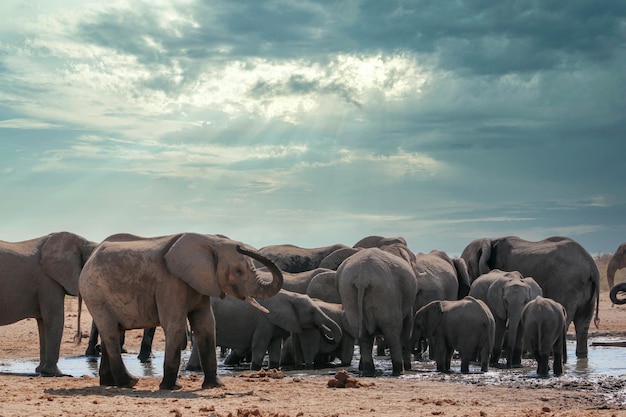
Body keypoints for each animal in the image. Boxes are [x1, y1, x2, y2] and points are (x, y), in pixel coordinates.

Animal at [77, 232, 280, 388]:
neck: (210, 241)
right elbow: (174, 325)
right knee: (111, 332)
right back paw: (130, 382)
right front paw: (172, 388)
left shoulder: (200, 283)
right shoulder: (170, 283)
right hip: (95, 294)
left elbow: (206, 325)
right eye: (238, 271)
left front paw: (215, 386)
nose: (241, 247)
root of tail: (90, 259)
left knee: (112, 331)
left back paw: (109, 383)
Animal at [334, 245, 416, 376]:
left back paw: (368, 370)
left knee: (362, 335)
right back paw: (399, 371)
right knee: (392, 332)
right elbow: (408, 325)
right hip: (386, 294)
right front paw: (408, 367)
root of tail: (362, 277)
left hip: (348, 292)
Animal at [458, 234, 600, 358]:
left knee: (566, 318)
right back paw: (580, 355)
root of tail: (592, 267)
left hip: (566, 284)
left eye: (468, 270)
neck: (490, 241)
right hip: (586, 293)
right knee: (583, 323)